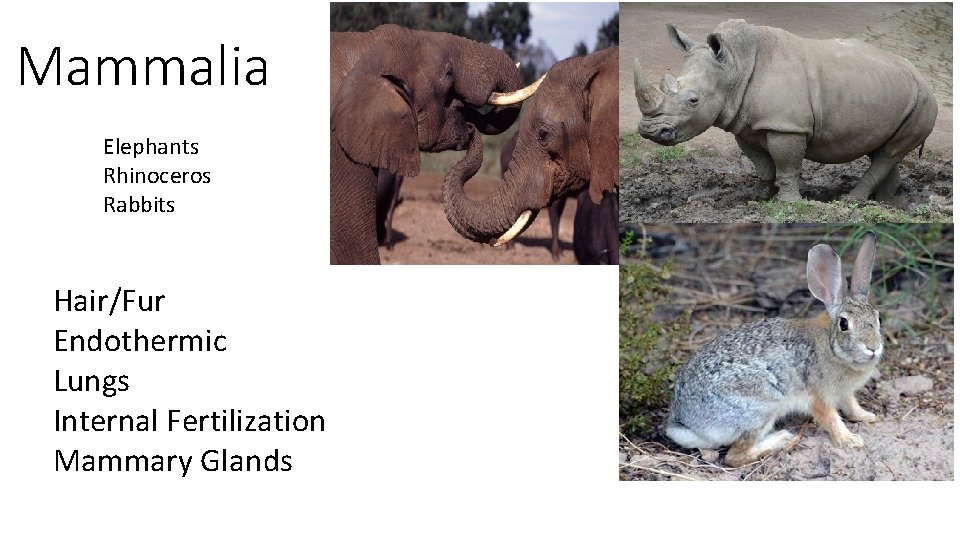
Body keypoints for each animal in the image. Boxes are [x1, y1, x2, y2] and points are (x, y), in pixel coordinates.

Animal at [635, 19, 938, 202]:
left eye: (693, 100)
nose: (648, 131)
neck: (734, 67)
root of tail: (923, 77)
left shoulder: (787, 126)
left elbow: (786, 164)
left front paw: (788, 202)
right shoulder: (746, 124)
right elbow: (761, 163)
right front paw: (758, 196)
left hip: (924, 102)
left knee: (887, 154)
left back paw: (852, 201)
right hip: (895, 93)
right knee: (884, 150)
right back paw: (888, 203)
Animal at [665, 232, 882, 467]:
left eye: (878, 318)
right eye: (844, 324)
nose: (873, 347)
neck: (832, 347)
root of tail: (686, 422)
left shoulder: (844, 393)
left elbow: (851, 405)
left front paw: (867, 416)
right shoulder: (818, 397)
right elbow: (831, 419)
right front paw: (850, 440)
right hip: (761, 407)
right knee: (735, 456)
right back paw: (780, 440)